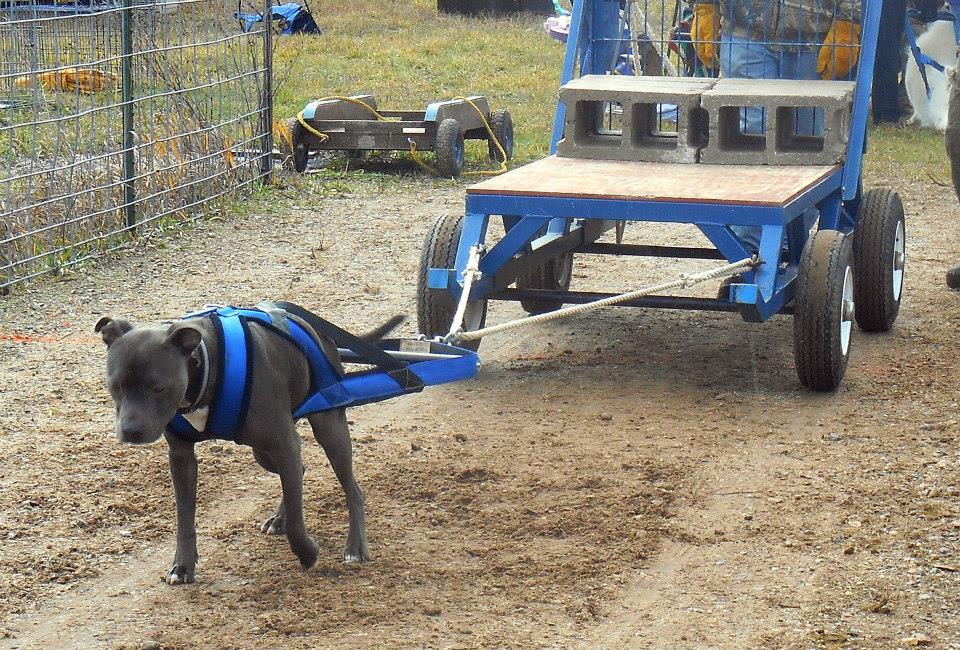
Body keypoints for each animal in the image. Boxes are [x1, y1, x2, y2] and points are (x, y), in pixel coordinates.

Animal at [94, 308, 402, 584]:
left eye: (158, 387)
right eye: (116, 385)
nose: (131, 431)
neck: (205, 365)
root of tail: (319, 330)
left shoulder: (285, 444)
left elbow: (297, 521)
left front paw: (307, 553)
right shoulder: (181, 458)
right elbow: (184, 518)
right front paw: (182, 566)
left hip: (329, 428)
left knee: (352, 490)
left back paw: (355, 547)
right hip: (263, 453)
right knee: (299, 472)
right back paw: (280, 518)